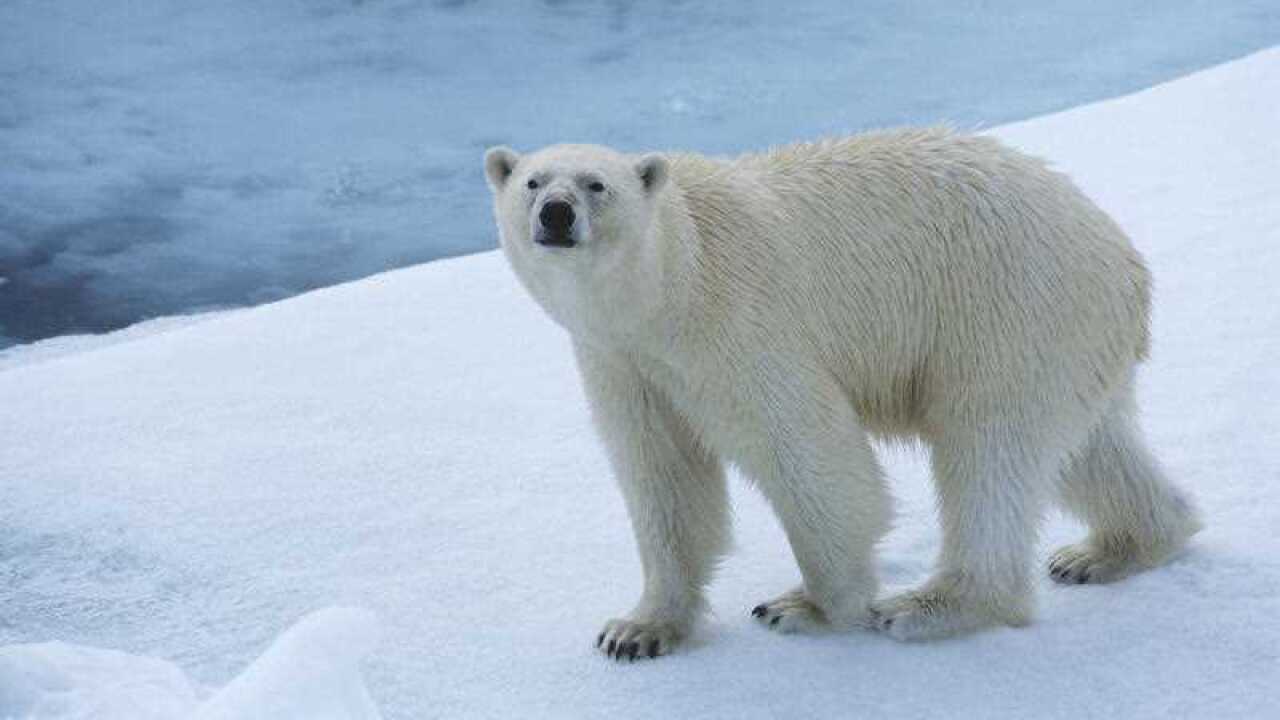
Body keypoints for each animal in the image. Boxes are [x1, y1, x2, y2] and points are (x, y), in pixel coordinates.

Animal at [483, 129, 1202, 661]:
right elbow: (662, 475)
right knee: (1086, 449)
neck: (671, 284)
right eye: (532, 182)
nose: (555, 214)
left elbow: (807, 451)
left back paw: (932, 605)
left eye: (595, 184)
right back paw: (1113, 547)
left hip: (1008, 311)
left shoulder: (737, 325)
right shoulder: (624, 361)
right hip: (1069, 342)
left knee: (989, 451)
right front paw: (637, 629)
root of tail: (1127, 264)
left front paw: (806, 605)